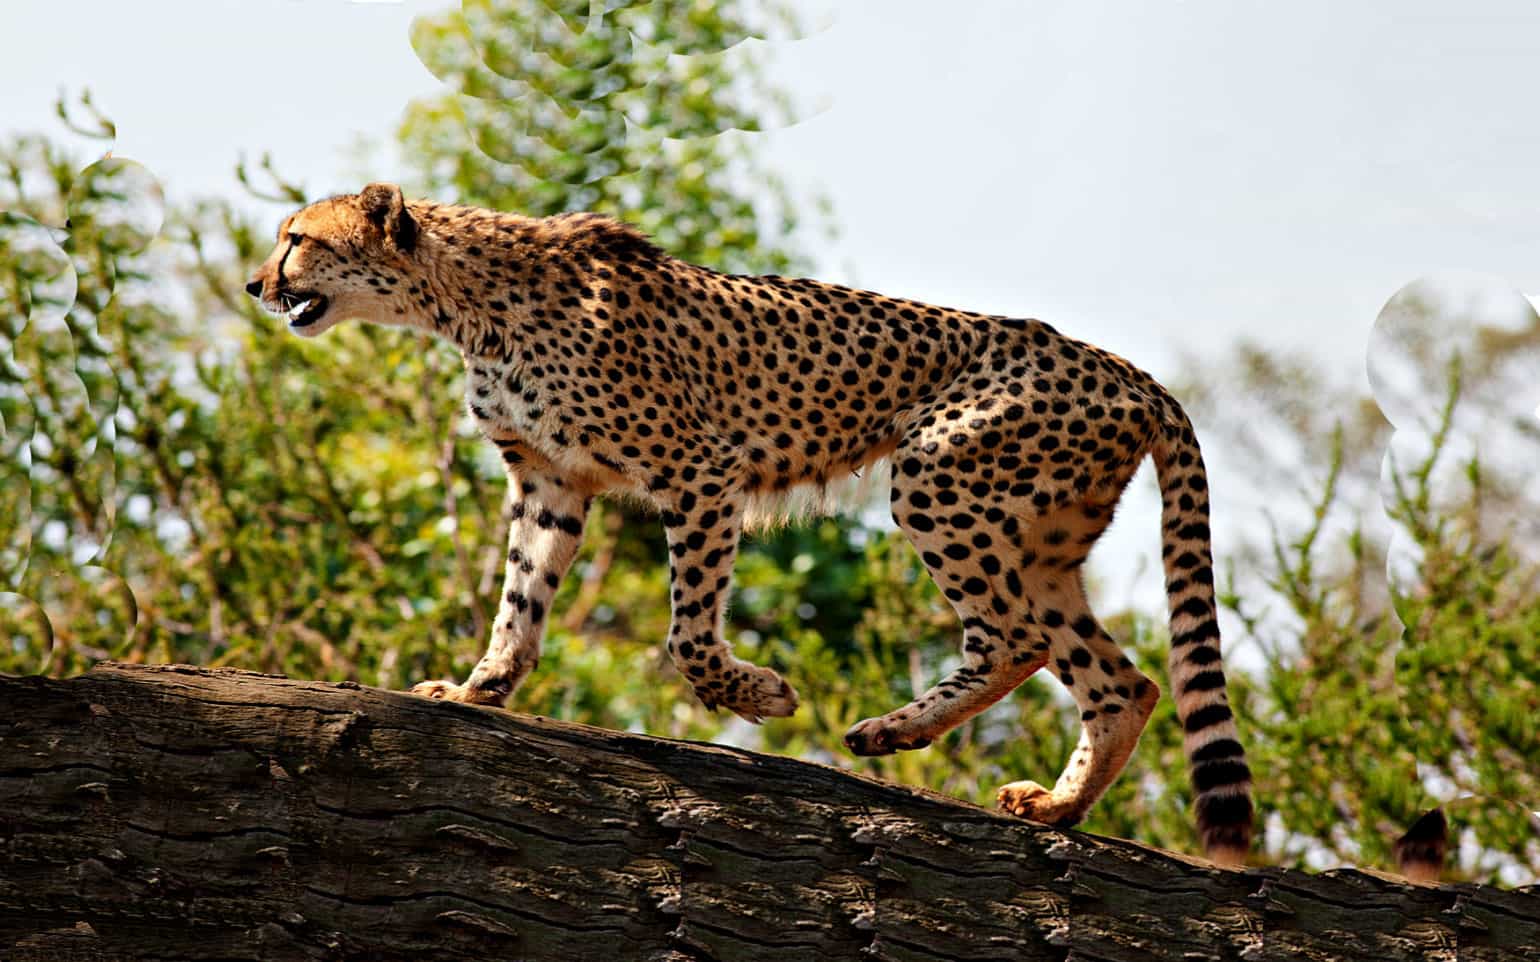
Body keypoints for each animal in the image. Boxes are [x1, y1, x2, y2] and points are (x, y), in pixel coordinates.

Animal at [246, 183, 1254, 864]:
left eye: (298, 238)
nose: (257, 283)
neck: (464, 301)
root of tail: (1127, 370)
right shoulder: (550, 480)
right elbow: (519, 604)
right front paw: (476, 690)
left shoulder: (699, 468)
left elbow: (688, 633)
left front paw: (758, 694)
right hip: (1037, 540)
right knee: (1121, 680)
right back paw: (1050, 807)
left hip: (936, 478)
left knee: (1016, 638)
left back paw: (897, 734)